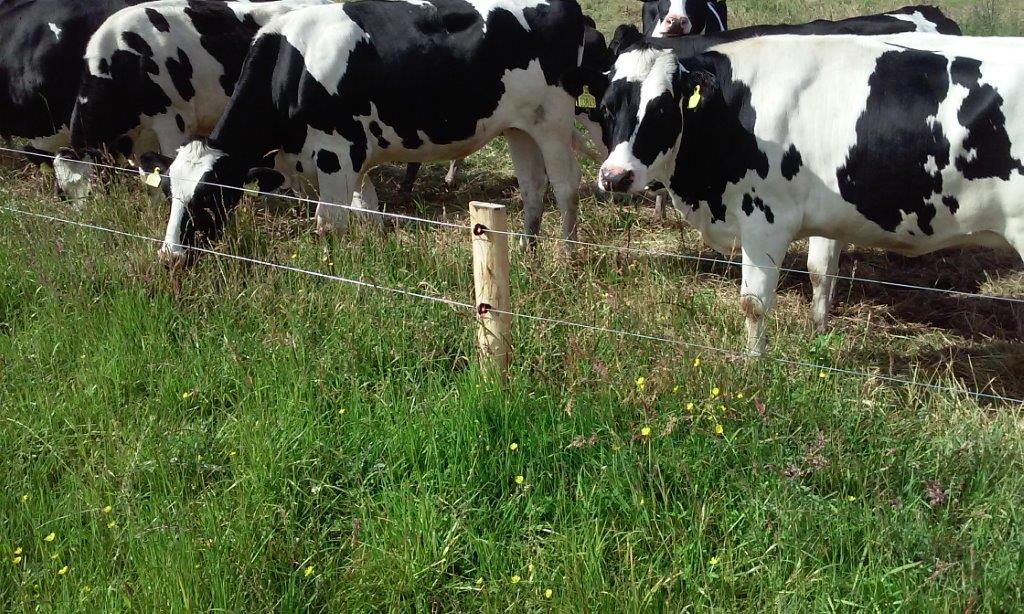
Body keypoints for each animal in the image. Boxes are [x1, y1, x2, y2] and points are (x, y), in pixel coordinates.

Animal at [156, 0, 591, 262]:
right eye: (168, 193)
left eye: (209, 195)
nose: (170, 257)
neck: (289, 67)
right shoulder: (353, 159)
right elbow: (368, 213)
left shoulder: (335, 155)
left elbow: (329, 223)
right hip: (520, 126)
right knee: (533, 186)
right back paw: (526, 249)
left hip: (553, 121)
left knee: (566, 187)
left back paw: (565, 256)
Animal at [595, 33, 1024, 355]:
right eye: (607, 107)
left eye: (663, 109)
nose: (615, 176)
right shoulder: (830, 214)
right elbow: (821, 272)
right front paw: (817, 335)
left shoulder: (765, 220)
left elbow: (754, 304)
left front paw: (752, 366)